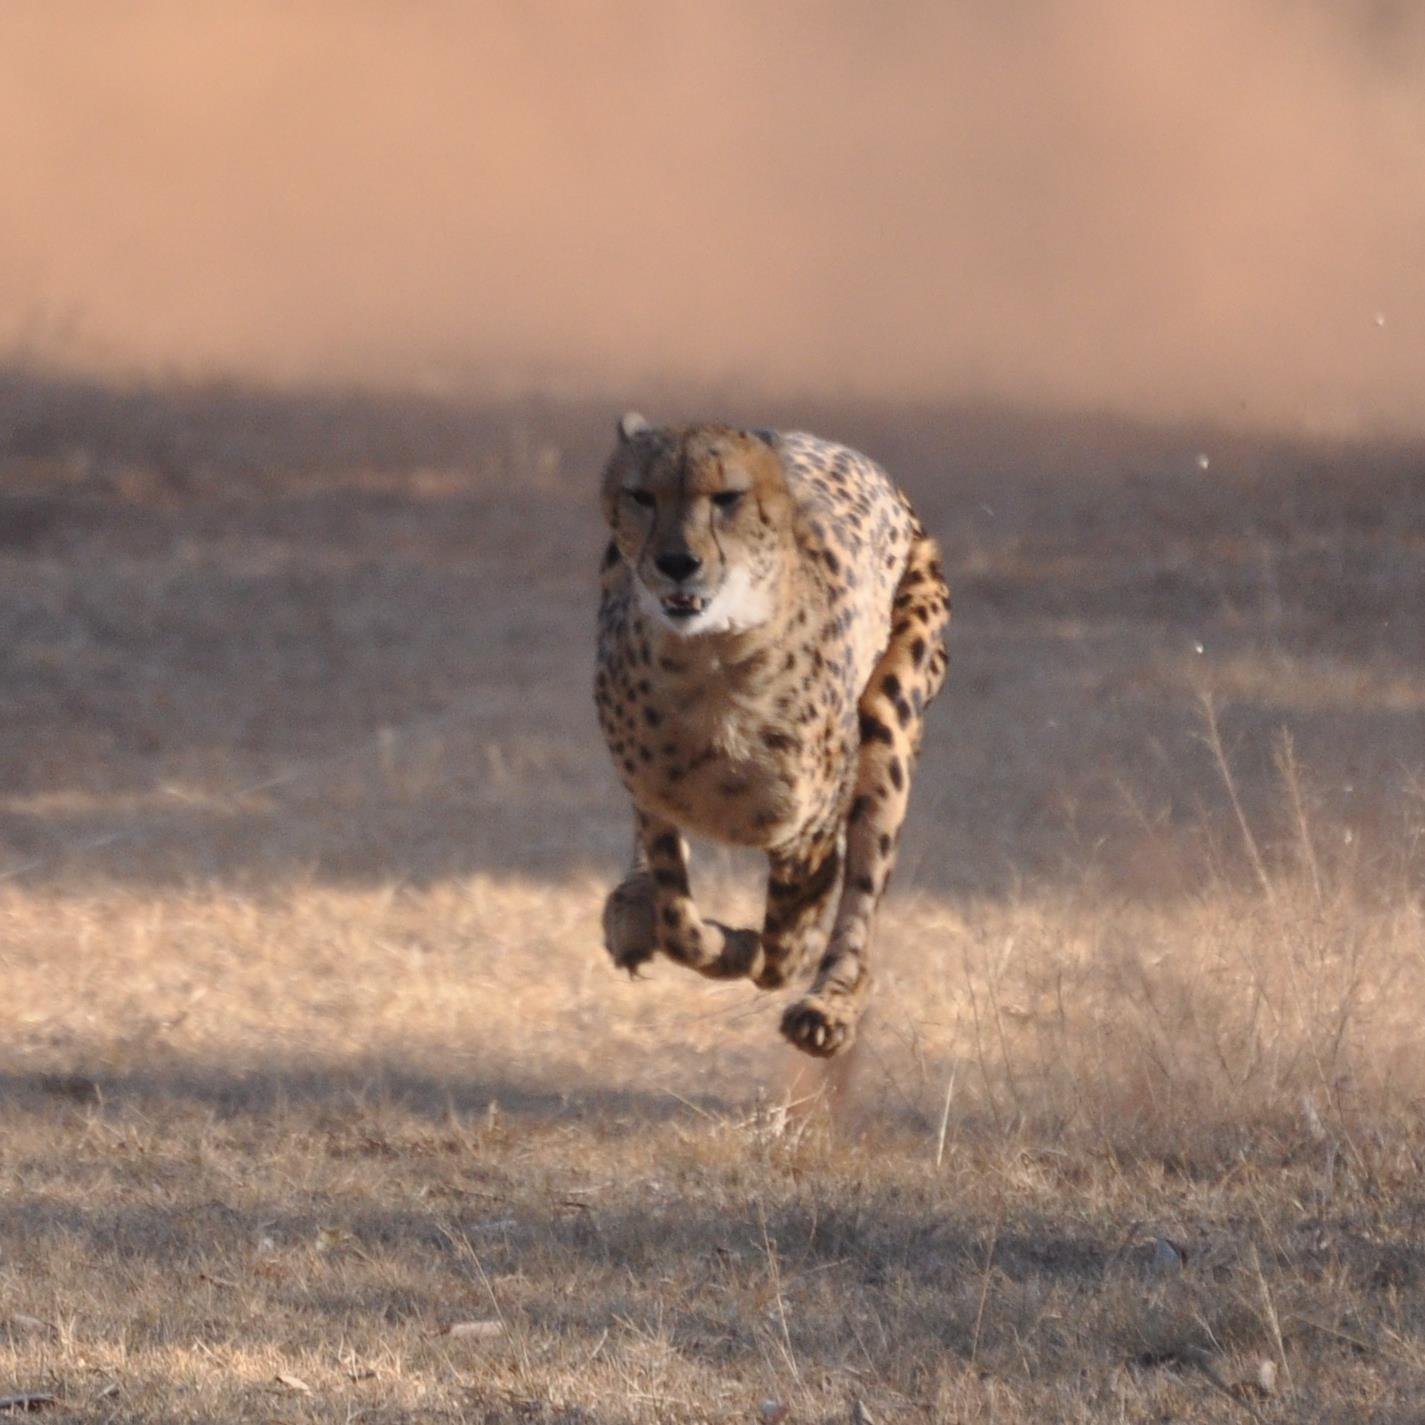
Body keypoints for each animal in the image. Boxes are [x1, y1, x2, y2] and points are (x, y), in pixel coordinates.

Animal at [595, 413, 951, 1060]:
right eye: (642, 496)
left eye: (726, 498)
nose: (677, 562)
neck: (712, 662)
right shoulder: (654, 802)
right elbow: (680, 921)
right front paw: (720, 940)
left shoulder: (810, 826)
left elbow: (788, 940)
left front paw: (770, 955)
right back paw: (631, 914)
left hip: (891, 715)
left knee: (863, 886)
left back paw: (830, 1004)